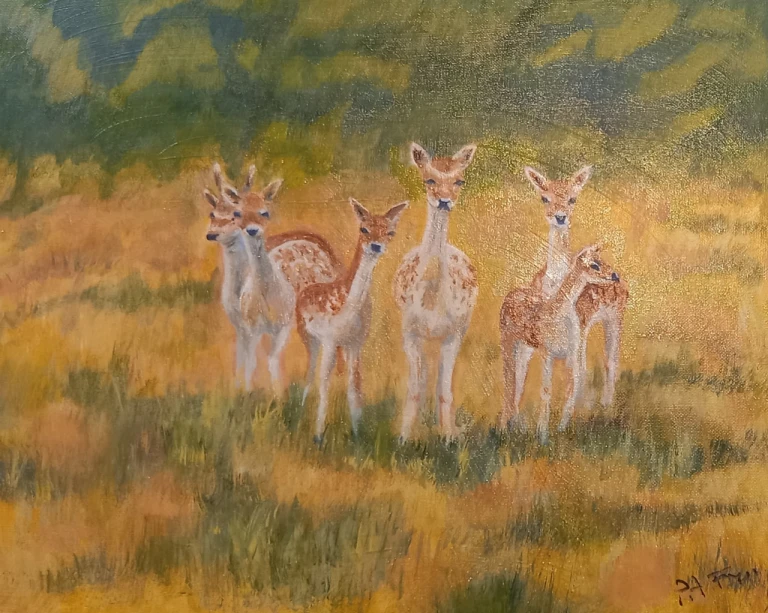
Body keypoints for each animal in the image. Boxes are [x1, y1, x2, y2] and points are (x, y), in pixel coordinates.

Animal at [297, 198, 408, 442]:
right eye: (363, 228)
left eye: (390, 232)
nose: (375, 246)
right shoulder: (329, 340)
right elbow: (324, 384)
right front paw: (318, 435)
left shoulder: (356, 344)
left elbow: (355, 387)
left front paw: (358, 435)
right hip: (307, 335)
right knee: (309, 373)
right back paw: (300, 411)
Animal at [393, 143, 479, 440]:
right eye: (429, 180)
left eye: (459, 181)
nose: (444, 200)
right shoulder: (409, 331)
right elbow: (414, 387)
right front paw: (403, 436)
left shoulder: (454, 333)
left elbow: (445, 387)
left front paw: (450, 435)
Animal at [499, 244, 622, 444]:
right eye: (594, 264)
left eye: (602, 259)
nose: (615, 276)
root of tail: (512, 292)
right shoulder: (547, 352)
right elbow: (546, 390)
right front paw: (542, 436)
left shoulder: (570, 352)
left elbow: (570, 385)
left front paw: (562, 429)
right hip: (507, 341)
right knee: (508, 379)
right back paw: (504, 428)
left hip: (526, 347)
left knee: (519, 379)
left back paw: (517, 426)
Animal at [523, 166, 629, 410]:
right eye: (544, 198)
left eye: (573, 198)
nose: (560, 217)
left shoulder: (580, 321)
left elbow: (579, 366)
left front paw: (583, 407)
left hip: (615, 317)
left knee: (611, 359)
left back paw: (607, 403)